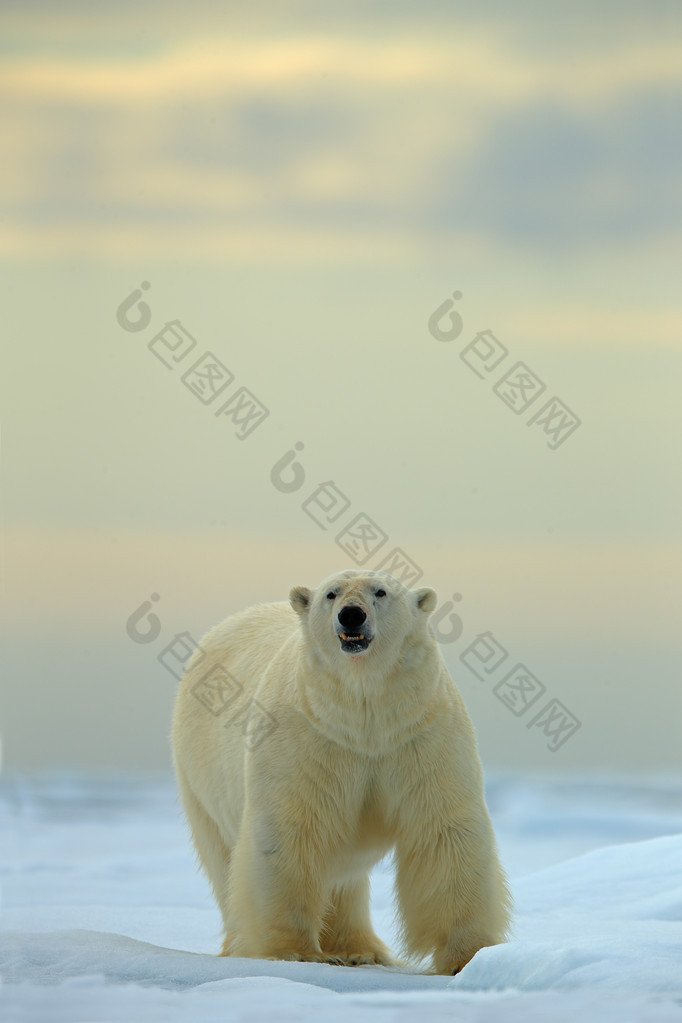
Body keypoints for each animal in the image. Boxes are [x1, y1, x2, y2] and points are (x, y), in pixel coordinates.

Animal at [170, 568, 511, 973]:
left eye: (380, 591)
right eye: (331, 594)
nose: (352, 615)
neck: (364, 716)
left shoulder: (420, 735)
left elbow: (443, 830)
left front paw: (467, 956)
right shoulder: (308, 737)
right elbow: (291, 830)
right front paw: (293, 951)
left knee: (345, 876)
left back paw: (360, 950)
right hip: (198, 780)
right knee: (224, 861)